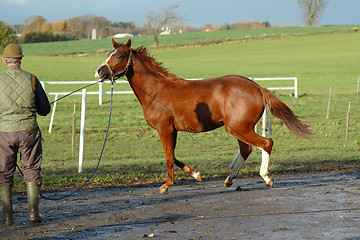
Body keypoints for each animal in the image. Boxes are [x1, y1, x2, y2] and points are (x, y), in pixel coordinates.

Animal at [95, 39, 312, 193]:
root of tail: (258, 88)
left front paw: (166, 186)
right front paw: (196, 175)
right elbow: (173, 156)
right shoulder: (173, 131)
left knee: (266, 143)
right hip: (238, 128)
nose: (99, 72)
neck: (156, 91)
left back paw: (266, 177)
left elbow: (168, 157)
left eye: (119, 56)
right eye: (108, 54)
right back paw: (229, 180)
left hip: (238, 128)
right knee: (247, 149)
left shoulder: (164, 130)